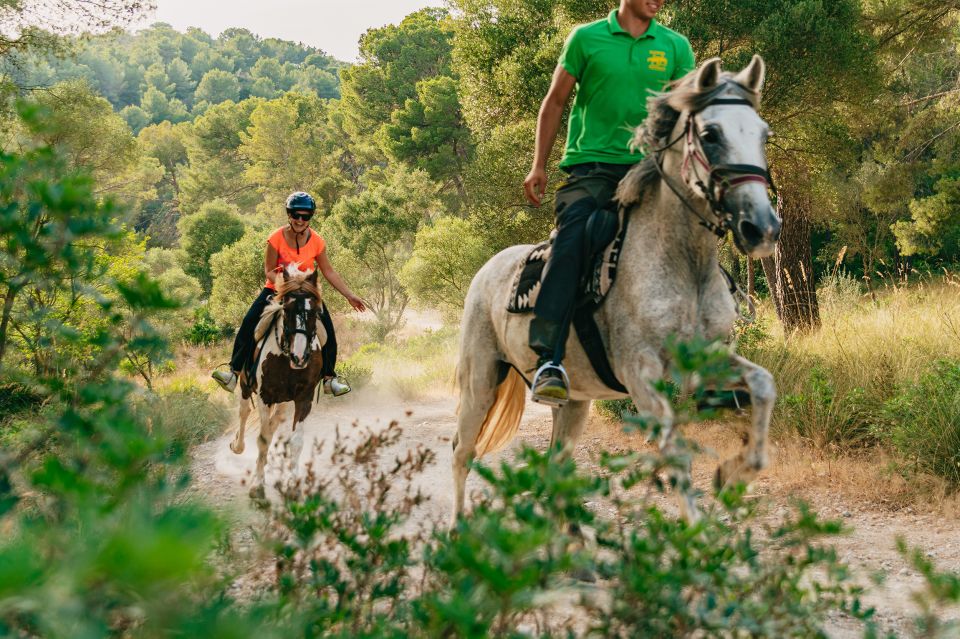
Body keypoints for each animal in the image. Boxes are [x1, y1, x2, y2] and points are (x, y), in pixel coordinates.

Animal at [229, 264, 326, 500]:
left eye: (314, 312)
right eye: (287, 310)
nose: (300, 358)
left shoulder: (304, 399)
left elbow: (296, 441)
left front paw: (293, 485)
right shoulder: (265, 396)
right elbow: (263, 439)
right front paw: (257, 484)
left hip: (282, 401)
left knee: (274, 422)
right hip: (245, 385)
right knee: (244, 412)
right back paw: (237, 445)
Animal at [454, 55, 784, 524]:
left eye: (762, 134)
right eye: (710, 135)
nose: (762, 227)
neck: (683, 267)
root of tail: (487, 269)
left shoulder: (708, 360)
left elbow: (763, 385)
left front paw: (732, 475)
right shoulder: (641, 376)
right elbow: (676, 454)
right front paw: (697, 530)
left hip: (574, 402)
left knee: (555, 465)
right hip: (480, 381)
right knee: (462, 452)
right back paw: (456, 528)